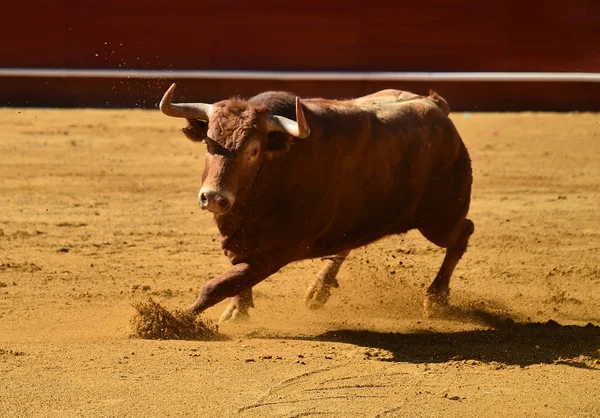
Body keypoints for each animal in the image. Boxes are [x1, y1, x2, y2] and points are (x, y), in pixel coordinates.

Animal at [159, 83, 474, 322]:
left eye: (254, 151)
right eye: (209, 143)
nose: (213, 197)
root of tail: (436, 106)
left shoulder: (277, 252)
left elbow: (219, 285)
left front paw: (172, 321)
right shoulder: (240, 242)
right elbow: (237, 278)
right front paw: (238, 311)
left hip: (440, 220)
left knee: (462, 233)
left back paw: (436, 298)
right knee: (346, 243)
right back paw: (319, 290)